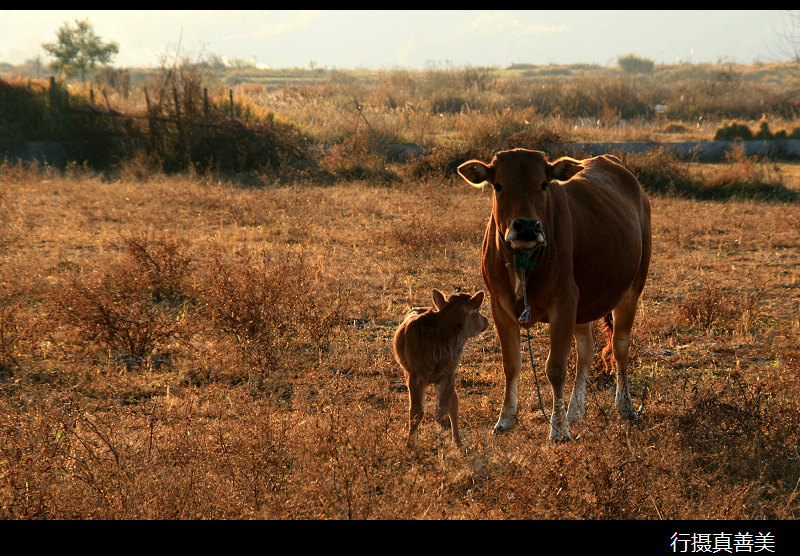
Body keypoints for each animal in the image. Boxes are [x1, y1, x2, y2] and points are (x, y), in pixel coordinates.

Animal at [392, 292, 488, 448]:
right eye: (477, 310)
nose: (486, 320)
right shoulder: (415, 376)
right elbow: (416, 413)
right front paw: (409, 445)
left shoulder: (447, 375)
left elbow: (442, 413)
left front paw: (444, 444)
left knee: (454, 405)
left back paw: (458, 442)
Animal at [456, 149, 648, 444]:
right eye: (498, 185)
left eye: (544, 184)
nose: (526, 226)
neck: (524, 262)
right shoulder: (499, 306)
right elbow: (511, 364)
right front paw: (505, 419)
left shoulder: (564, 302)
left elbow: (556, 368)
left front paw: (558, 428)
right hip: (583, 304)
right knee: (586, 352)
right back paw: (575, 409)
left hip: (632, 289)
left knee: (620, 347)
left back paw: (624, 406)